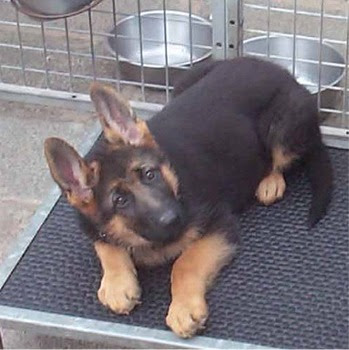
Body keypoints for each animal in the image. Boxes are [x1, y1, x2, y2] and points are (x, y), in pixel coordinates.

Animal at [44, 57, 332, 340]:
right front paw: (117, 284)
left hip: (283, 124)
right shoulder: (92, 225)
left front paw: (184, 309)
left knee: (279, 158)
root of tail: (281, 71)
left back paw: (270, 181)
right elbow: (107, 246)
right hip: (183, 83)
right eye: (120, 201)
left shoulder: (219, 224)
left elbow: (184, 263)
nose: (173, 219)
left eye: (150, 174)